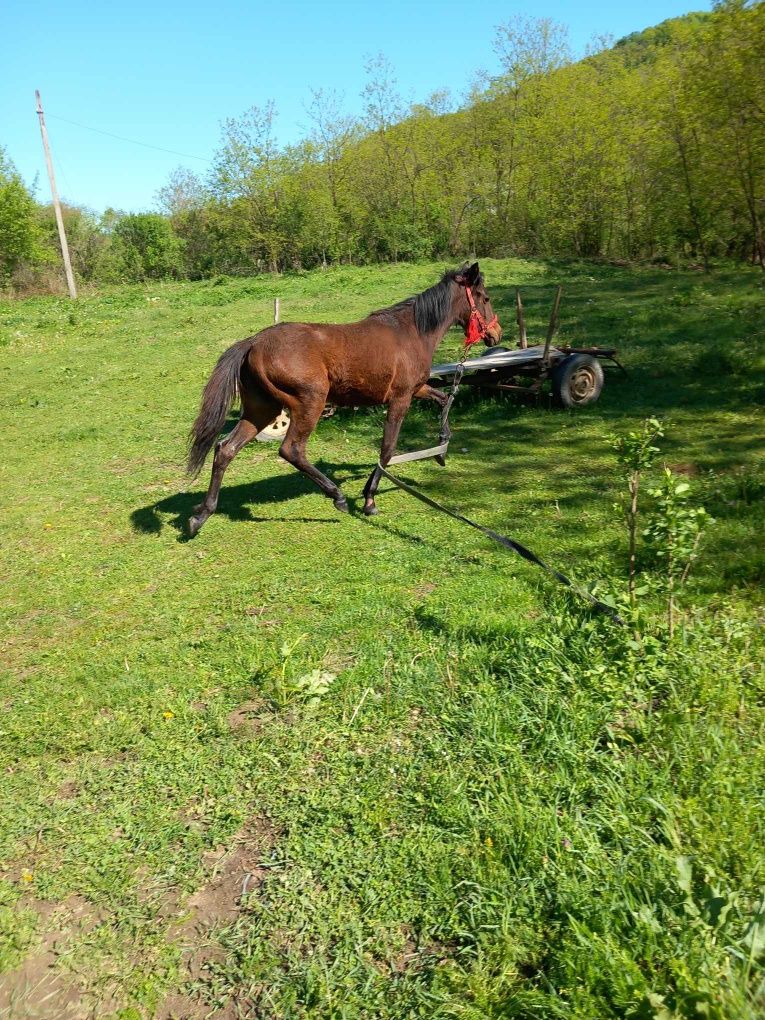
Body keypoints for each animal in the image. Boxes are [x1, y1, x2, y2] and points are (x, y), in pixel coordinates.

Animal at [187, 259, 503, 538]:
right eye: (486, 297)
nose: (496, 334)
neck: (411, 332)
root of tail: (253, 342)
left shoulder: (416, 389)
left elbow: (445, 399)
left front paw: (441, 449)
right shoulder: (400, 398)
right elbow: (387, 449)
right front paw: (369, 500)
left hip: (261, 410)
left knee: (225, 449)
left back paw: (200, 516)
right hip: (308, 404)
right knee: (291, 450)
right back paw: (337, 496)